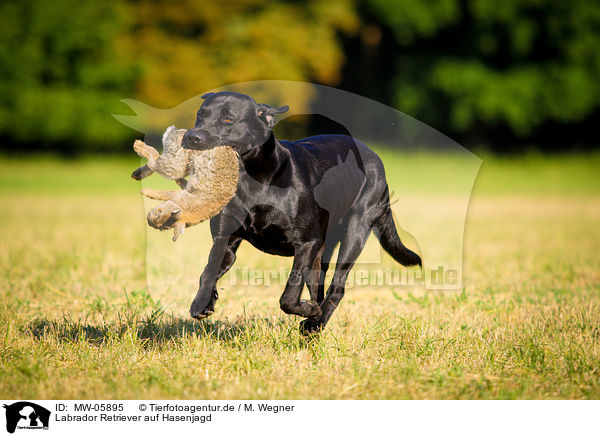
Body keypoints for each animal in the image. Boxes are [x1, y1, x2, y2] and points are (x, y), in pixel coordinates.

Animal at [180, 90, 420, 332]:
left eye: (228, 119)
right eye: (201, 115)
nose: (192, 137)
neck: (252, 182)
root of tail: (375, 157)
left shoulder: (307, 243)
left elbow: (290, 293)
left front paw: (308, 311)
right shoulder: (225, 238)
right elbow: (208, 271)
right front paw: (202, 303)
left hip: (354, 234)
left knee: (337, 288)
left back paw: (314, 323)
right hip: (323, 252)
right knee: (319, 288)